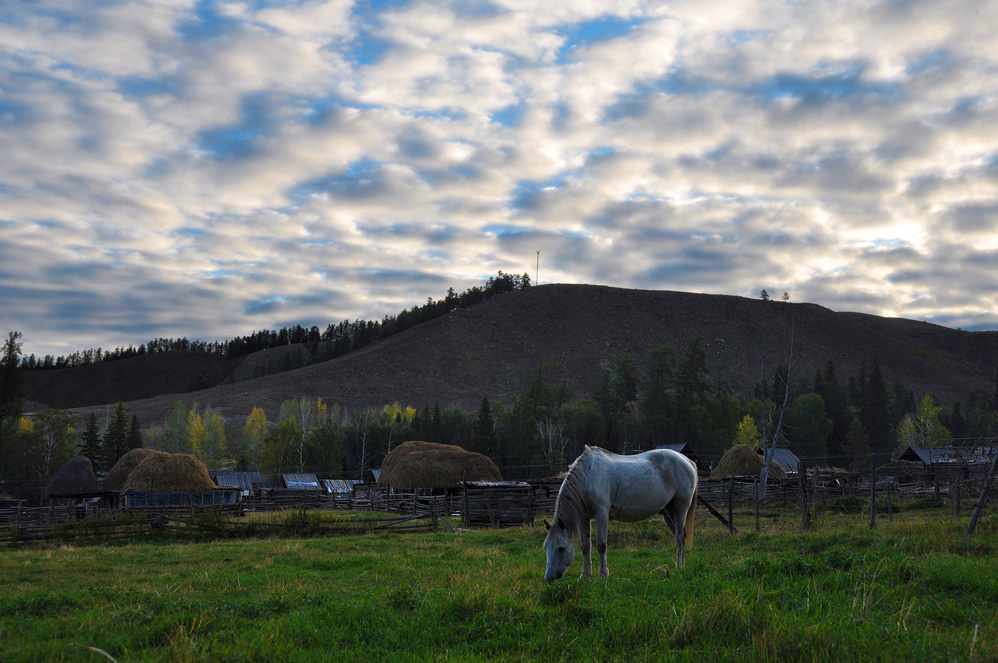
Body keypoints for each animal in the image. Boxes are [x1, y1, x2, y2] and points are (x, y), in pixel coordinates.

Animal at [544, 446, 700, 580]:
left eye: (561, 548)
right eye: (546, 547)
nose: (549, 578)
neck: (587, 476)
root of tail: (688, 461)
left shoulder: (601, 514)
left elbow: (601, 545)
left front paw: (603, 575)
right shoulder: (583, 518)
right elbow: (585, 546)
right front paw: (586, 575)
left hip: (680, 509)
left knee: (681, 537)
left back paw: (680, 566)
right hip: (667, 513)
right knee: (677, 538)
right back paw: (679, 565)